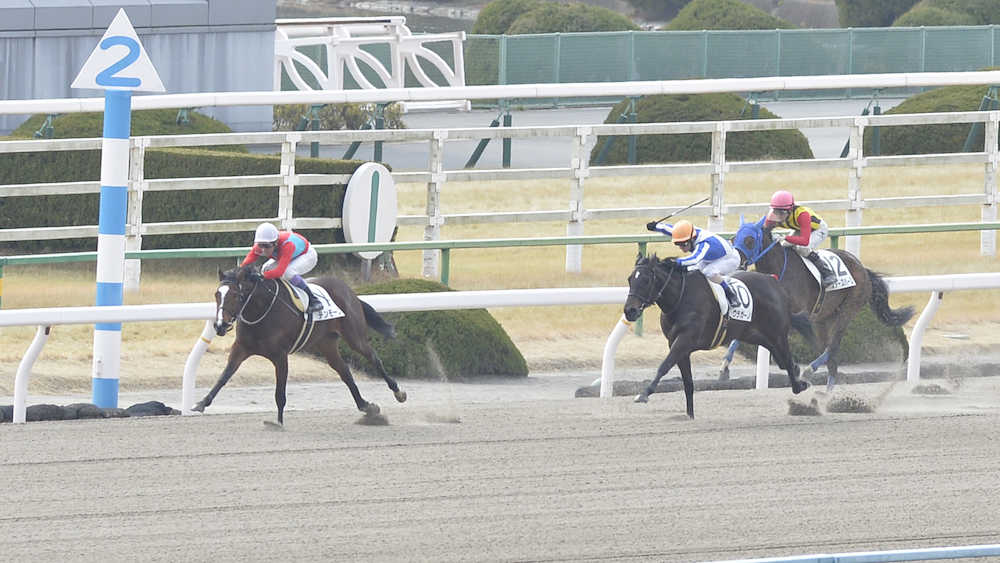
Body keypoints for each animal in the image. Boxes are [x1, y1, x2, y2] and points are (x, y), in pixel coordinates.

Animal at [195, 266, 406, 426]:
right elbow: (224, 377)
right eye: (217, 294)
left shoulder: (280, 356)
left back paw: (398, 392)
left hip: (355, 337)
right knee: (344, 371)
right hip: (326, 342)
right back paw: (367, 407)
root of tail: (349, 290)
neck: (261, 310)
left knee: (374, 359)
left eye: (235, 295)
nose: (220, 325)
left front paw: (278, 423)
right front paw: (202, 403)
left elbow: (280, 392)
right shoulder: (241, 348)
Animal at [624, 253, 812, 416]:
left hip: (777, 333)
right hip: (754, 335)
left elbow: (664, 365)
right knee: (785, 362)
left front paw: (644, 394)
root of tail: (774, 282)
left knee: (787, 360)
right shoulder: (677, 344)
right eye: (630, 279)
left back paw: (800, 384)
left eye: (646, 280)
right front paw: (689, 415)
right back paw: (798, 376)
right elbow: (688, 383)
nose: (629, 311)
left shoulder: (685, 340)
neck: (681, 297)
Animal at [728, 216, 916, 392]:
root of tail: (863, 269)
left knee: (832, 348)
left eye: (750, 240)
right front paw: (725, 367)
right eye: (734, 238)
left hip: (848, 309)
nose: (737, 261)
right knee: (832, 361)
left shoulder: (794, 317)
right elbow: (738, 339)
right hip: (823, 320)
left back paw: (810, 371)